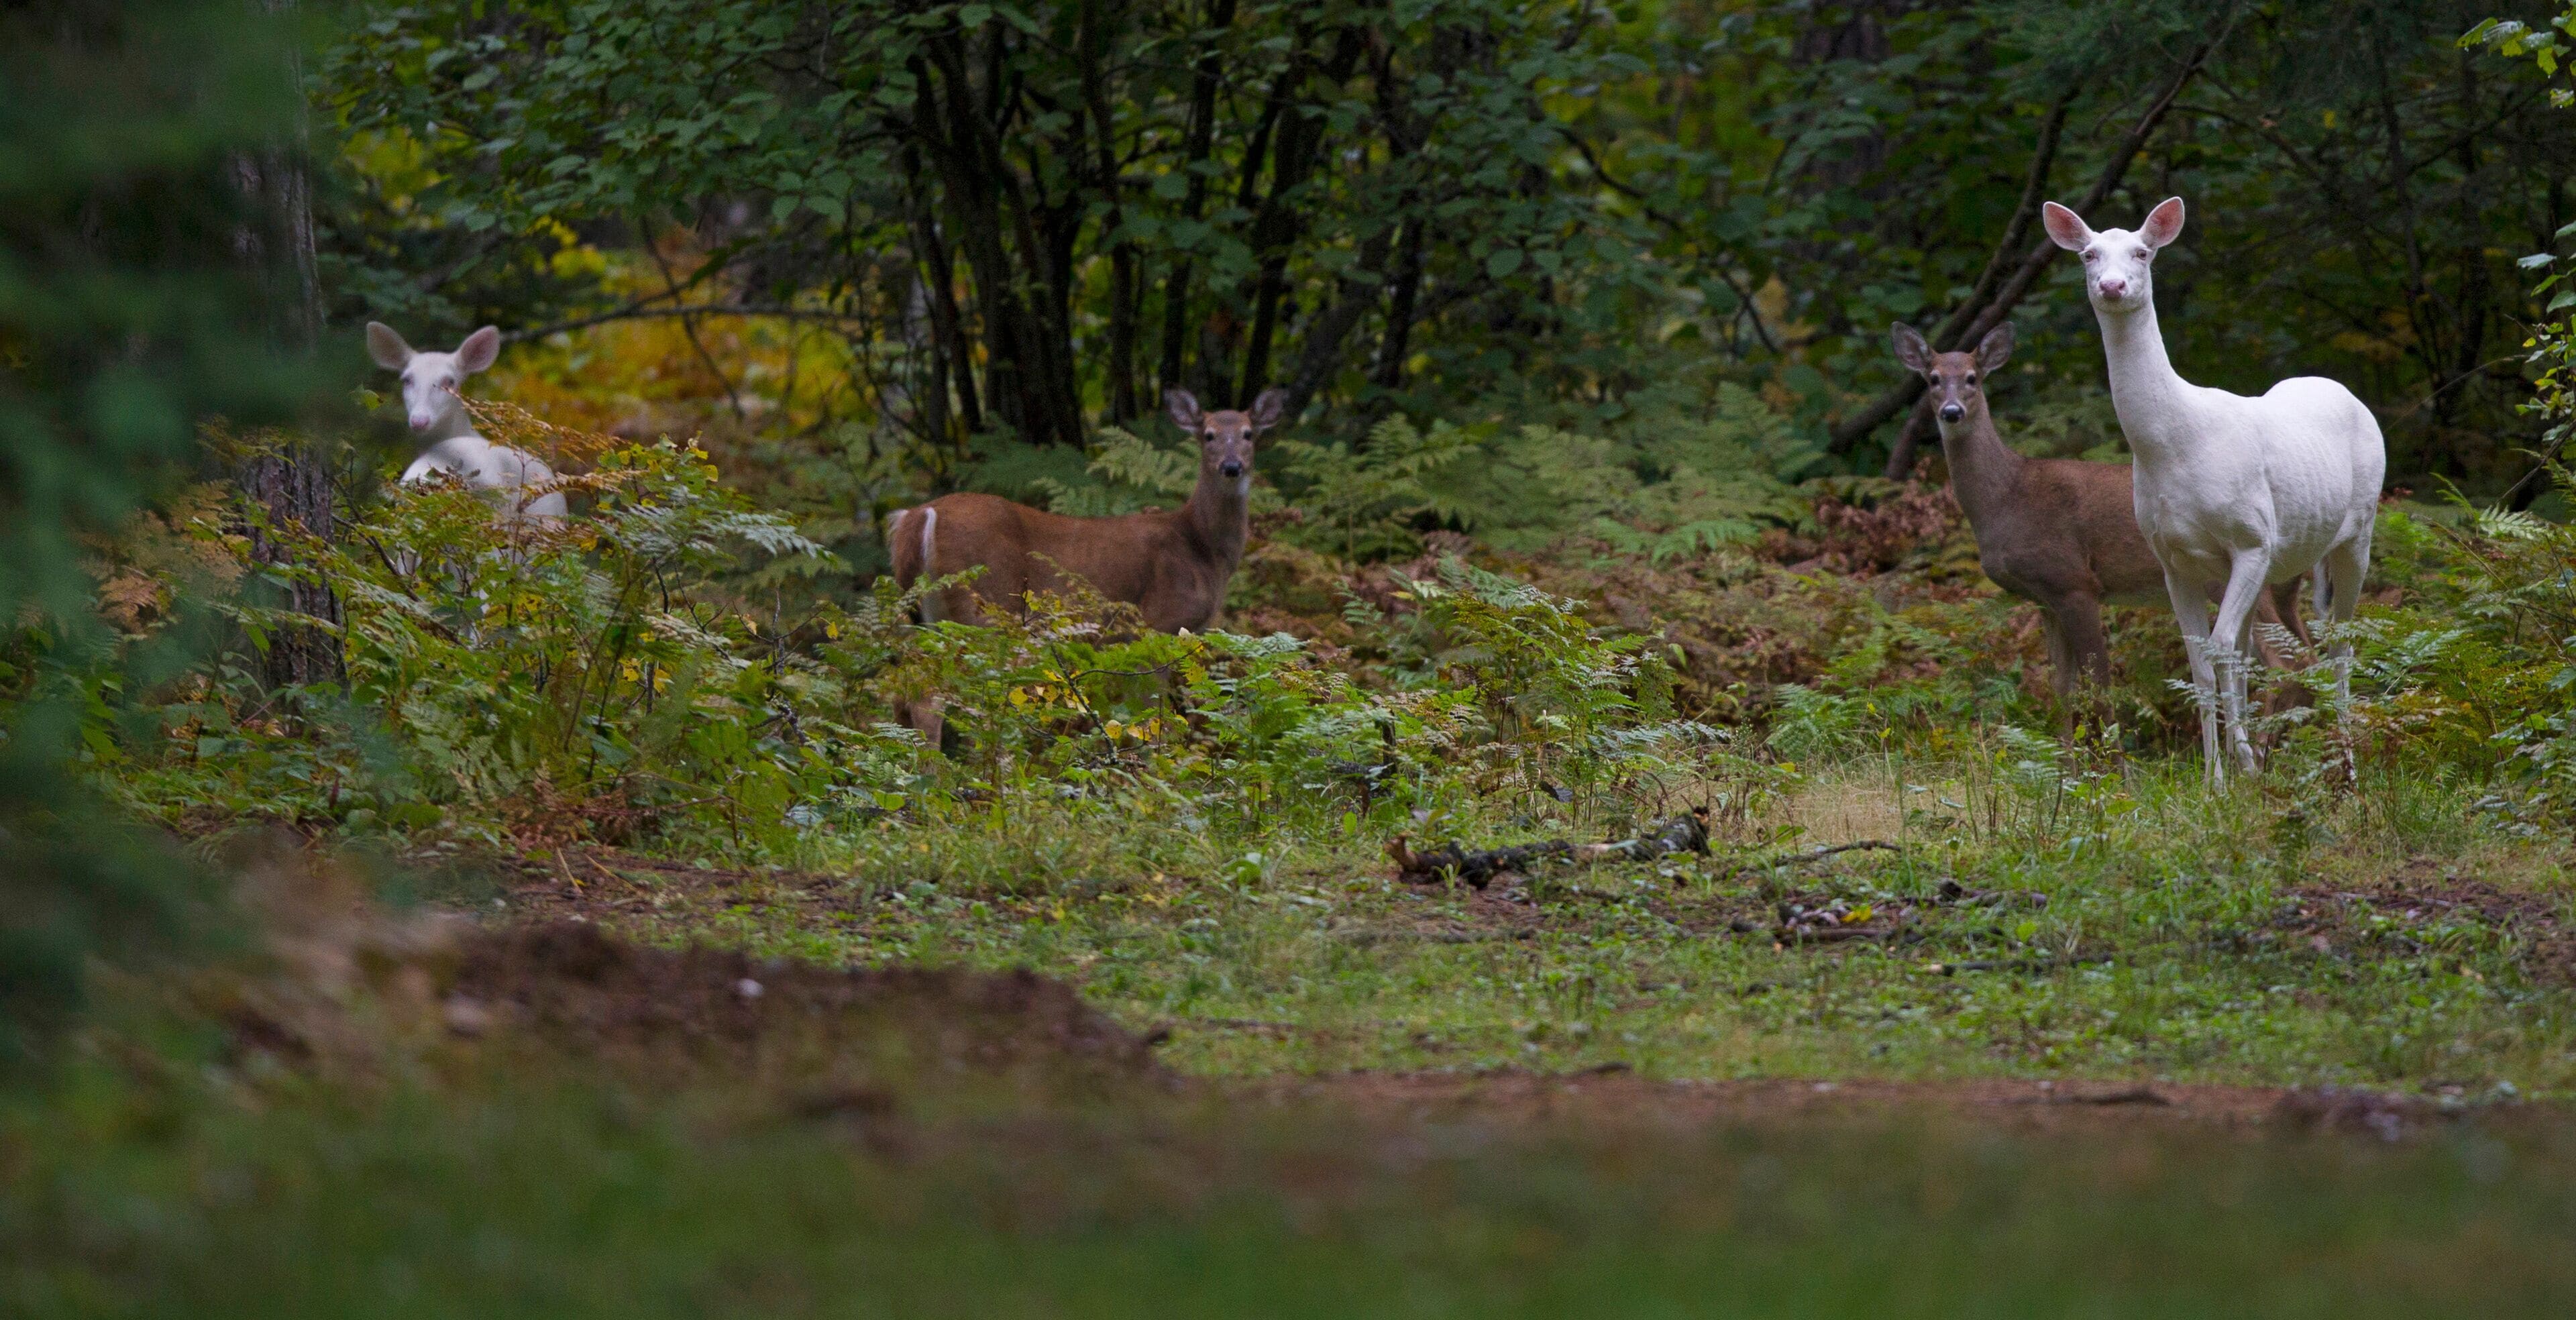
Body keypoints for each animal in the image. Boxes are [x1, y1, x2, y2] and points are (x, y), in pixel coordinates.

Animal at [885, 387, 1284, 743]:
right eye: (1209, 435)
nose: (1231, 467)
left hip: (923, 619)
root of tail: (918, 517)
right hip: (981, 611)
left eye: (1249, 434)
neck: (1201, 548)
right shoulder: (1157, 623)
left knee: (903, 696)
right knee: (936, 698)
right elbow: (1154, 716)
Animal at [1891, 322, 2310, 724]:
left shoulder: (2074, 581)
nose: (1952, 412)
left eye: (1972, 378)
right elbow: (2061, 689)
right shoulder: (2045, 599)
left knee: (2288, 663)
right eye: (1932, 378)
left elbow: (2100, 689)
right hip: (2285, 588)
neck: (2007, 499)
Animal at [2042, 197, 2385, 782]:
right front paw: (2216, 779)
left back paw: (2347, 767)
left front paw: (2235, 768)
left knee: (2340, 645)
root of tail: (2347, 393)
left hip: (2357, 530)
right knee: (2255, 651)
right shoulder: (2172, 558)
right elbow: (2202, 662)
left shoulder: (2251, 537)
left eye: (2143, 252)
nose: (2112, 286)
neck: (2177, 443)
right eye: (2089, 254)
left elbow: (2222, 648)